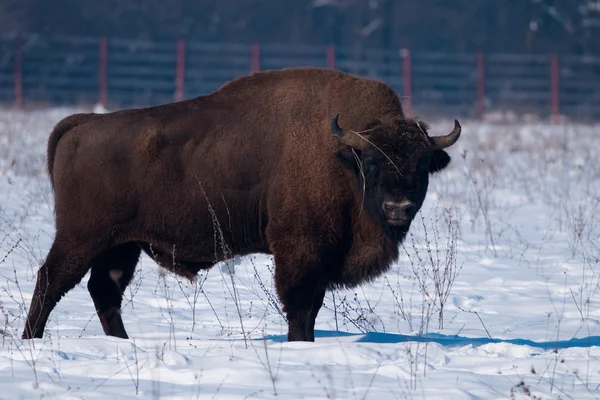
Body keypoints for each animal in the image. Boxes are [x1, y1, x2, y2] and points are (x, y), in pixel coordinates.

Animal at [21, 65, 462, 340]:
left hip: (120, 245)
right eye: (371, 162)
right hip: (82, 238)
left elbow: (311, 307)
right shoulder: (299, 251)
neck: (341, 155)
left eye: (422, 164)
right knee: (51, 281)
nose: (398, 208)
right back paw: (31, 340)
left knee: (104, 290)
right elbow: (300, 307)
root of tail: (81, 123)